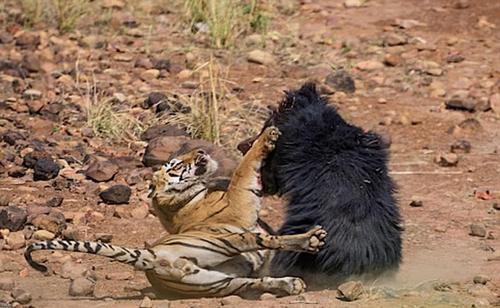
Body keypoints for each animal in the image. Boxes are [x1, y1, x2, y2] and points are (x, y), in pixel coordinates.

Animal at [26, 126, 328, 298]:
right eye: (176, 165)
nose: (201, 151)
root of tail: (152, 258)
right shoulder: (239, 198)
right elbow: (245, 166)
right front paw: (268, 136)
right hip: (227, 240)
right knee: (267, 240)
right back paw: (311, 239)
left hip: (221, 283)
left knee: (254, 282)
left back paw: (290, 285)